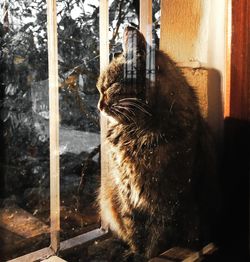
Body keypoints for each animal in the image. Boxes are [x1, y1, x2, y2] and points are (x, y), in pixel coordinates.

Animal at [96, 26, 218, 260]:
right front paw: (135, 253)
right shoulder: (127, 195)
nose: (99, 105)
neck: (137, 135)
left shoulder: (166, 201)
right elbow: (134, 231)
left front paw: (145, 256)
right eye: (99, 89)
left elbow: (156, 241)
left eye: (111, 85)